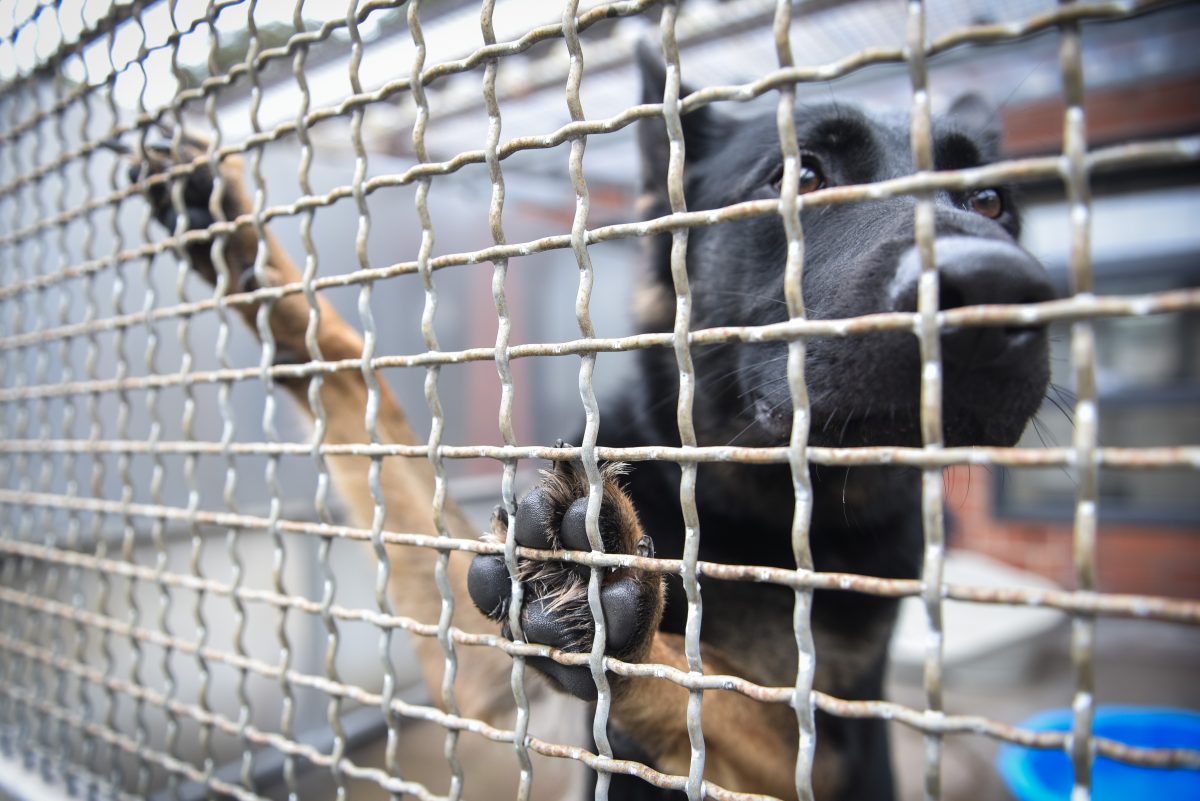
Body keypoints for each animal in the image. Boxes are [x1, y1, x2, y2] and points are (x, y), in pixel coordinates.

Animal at [460, 51, 1051, 801]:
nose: (995, 289)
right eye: (801, 176)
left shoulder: (836, 746)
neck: (769, 520)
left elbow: (722, 700)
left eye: (990, 202)